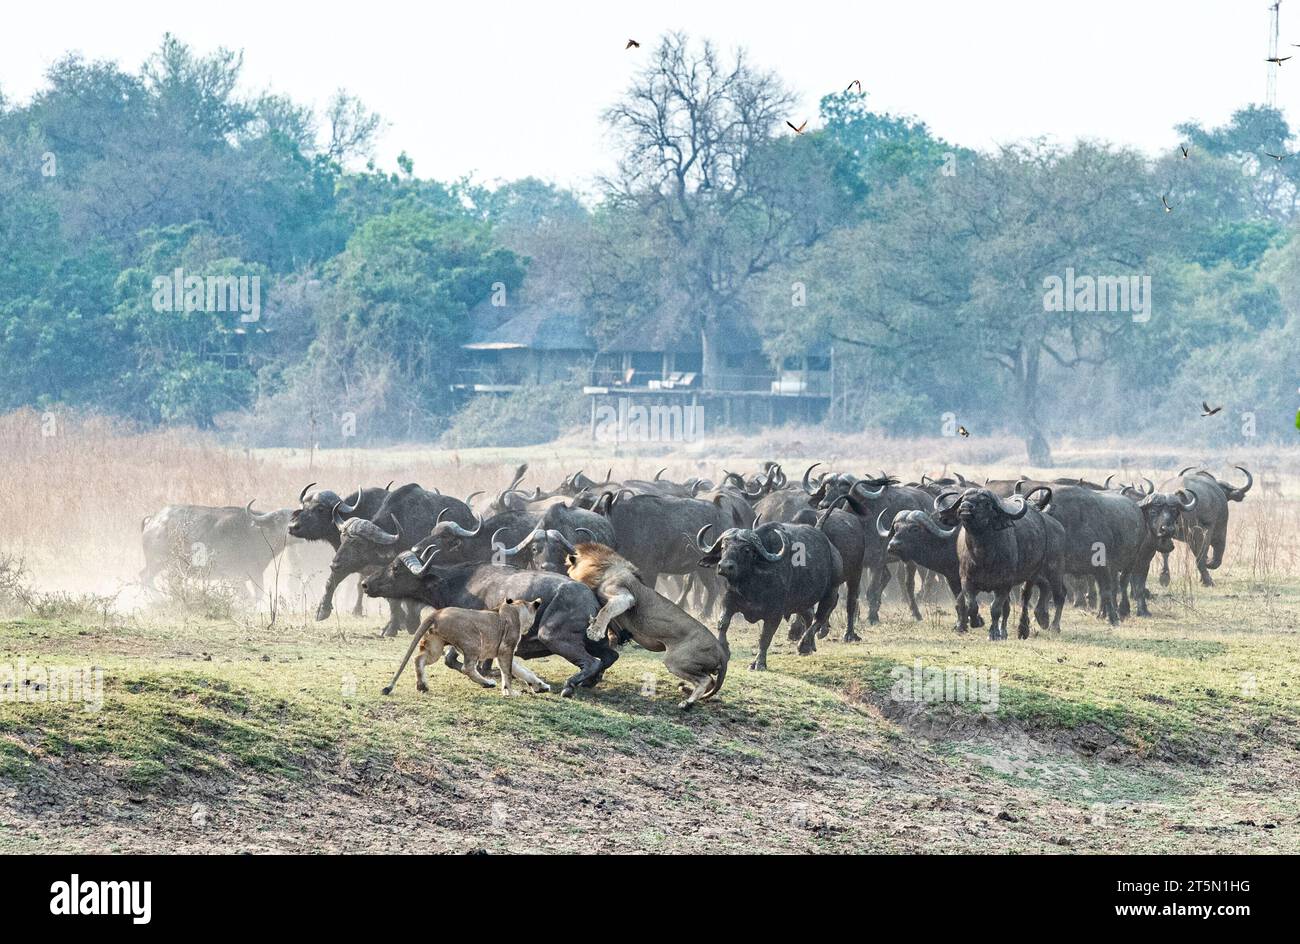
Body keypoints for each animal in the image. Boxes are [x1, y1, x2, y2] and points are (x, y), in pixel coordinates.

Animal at [566, 543, 727, 708]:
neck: (603, 566)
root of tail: (721, 650)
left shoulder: (625, 597)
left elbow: (606, 610)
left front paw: (594, 632)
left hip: (676, 660)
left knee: (705, 680)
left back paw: (687, 703)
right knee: (710, 681)